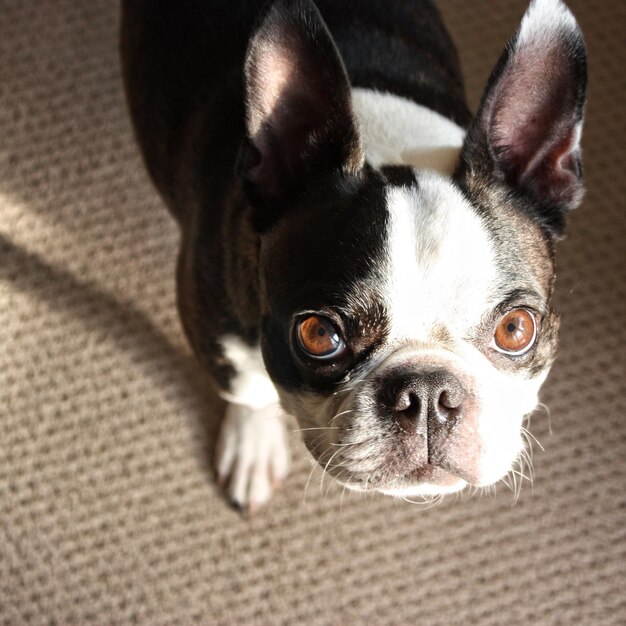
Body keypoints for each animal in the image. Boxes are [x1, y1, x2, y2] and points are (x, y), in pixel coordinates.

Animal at [118, 0, 584, 510]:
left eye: (516, 329)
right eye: (319, 334)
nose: (428, 394)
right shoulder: (213, 325)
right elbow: (249, 390)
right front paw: (253, 444)